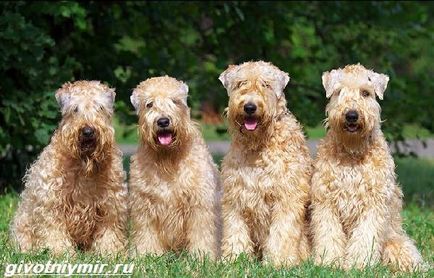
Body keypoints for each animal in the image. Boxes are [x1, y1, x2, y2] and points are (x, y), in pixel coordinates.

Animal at [10, 80, 127, 254]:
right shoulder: (52, 203)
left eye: (100, 107)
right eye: (75, 109)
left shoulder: (110, 204)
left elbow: (109, 232)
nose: (88, 131)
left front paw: (109, 252)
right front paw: (60, 252)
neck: (83, 165)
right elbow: (54, 231)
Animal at [127, 75, 219, 258]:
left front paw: (201, 256)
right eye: (149, 104)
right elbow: (145, 234)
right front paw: (145, 255)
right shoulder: (144, 205)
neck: (168, 158)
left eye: (175, 101)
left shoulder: (199, 204)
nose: (163, 121)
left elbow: (201, 233)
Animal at [220, 61, 312, 268]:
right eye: (240, 83)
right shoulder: (235, 196)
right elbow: (235, 231)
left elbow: (281, 232)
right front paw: (234, 260)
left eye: (266, 85)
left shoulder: (286, 196)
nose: (250, 106)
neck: (258, 148)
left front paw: (279, 262)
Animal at [310, 64, 426, 270]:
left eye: (365, 93)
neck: (352, 153)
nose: (351, 115)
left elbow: (365, 236)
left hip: (397, 244)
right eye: (338, 92)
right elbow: (328, 234)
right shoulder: (326, 201)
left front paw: (358, 264)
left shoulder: (373, 203)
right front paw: (329, 262)